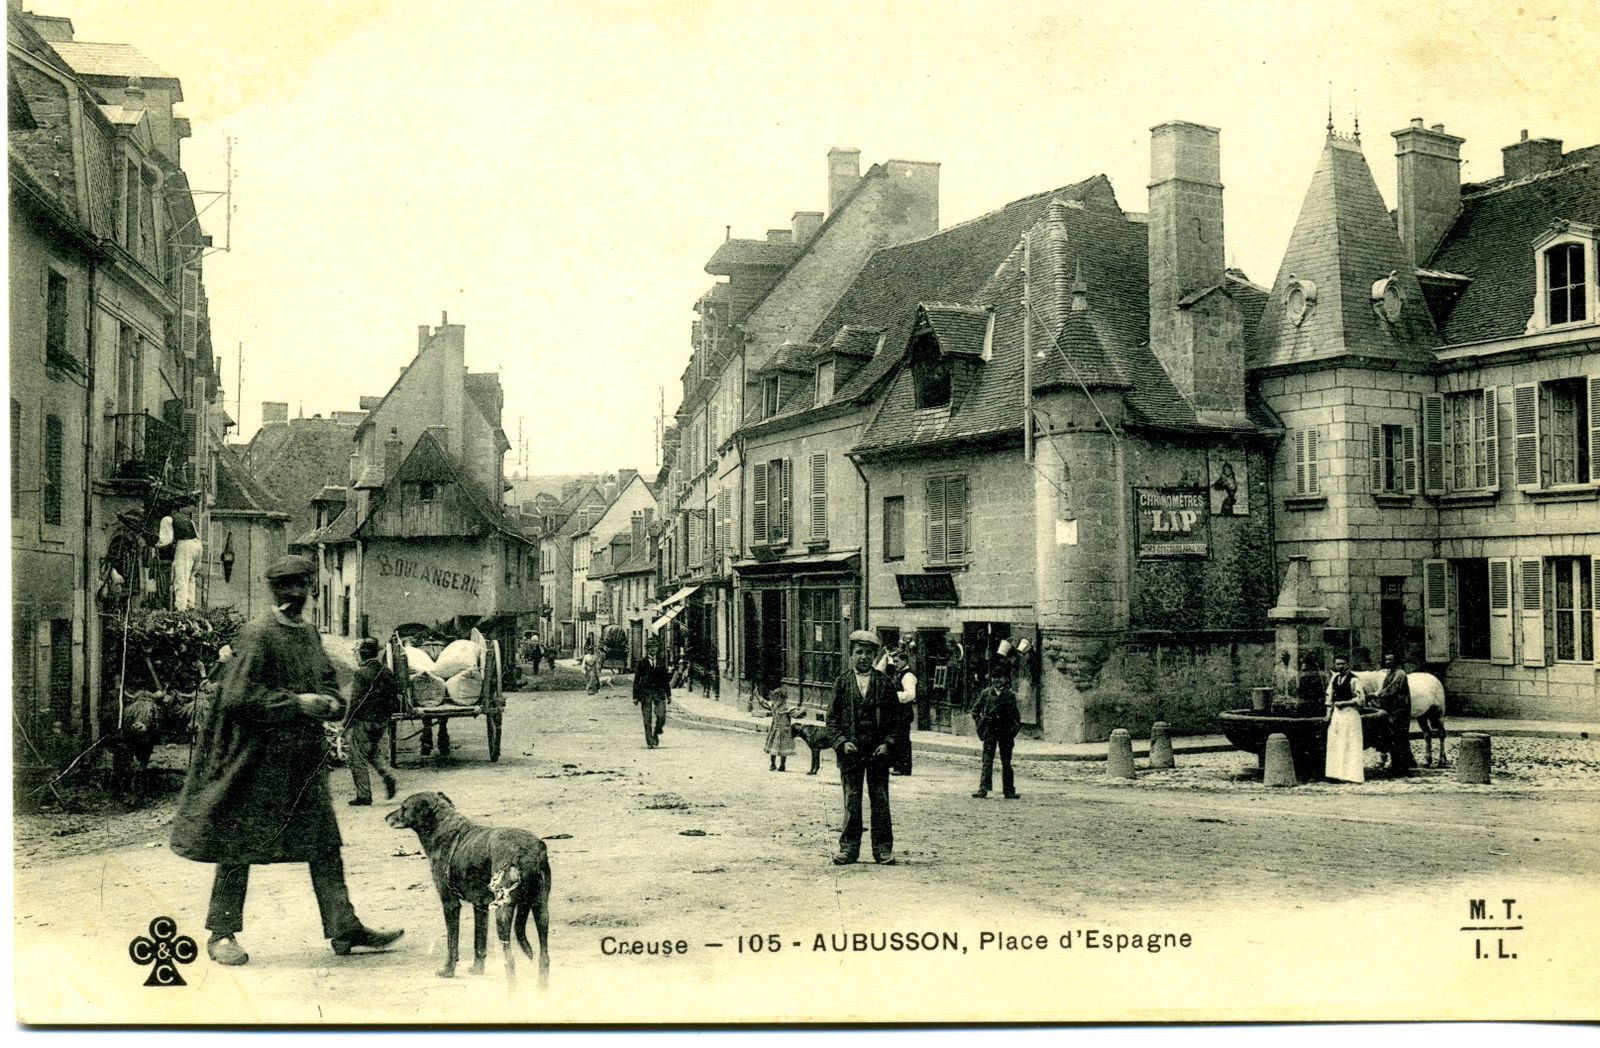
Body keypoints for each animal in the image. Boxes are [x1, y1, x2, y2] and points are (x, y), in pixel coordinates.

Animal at [390, 790, 553, 985]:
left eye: (403, 807)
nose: (387, 817)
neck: (444, 829)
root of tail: (528, 851)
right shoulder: (481, 907)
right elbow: (479, 942)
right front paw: (477, 969)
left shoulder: (450, 904)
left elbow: (452, 943)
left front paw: (447, 970)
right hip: (541, 909)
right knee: (544, 957)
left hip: (503, 913)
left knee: (510, 961)